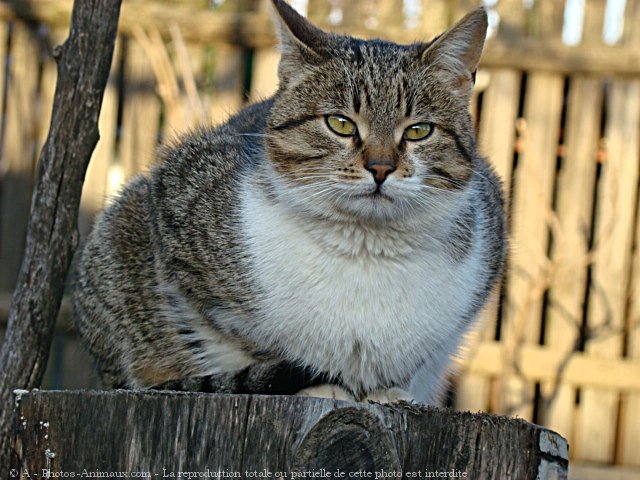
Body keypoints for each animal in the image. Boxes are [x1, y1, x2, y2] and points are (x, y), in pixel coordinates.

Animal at [74, 0, 504, 404]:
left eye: (418, 130)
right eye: (340, 123)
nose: (381, 167)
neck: (366, 246)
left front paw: (386, 390)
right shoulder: (177, 211)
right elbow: (257, 346)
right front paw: (321, 385)